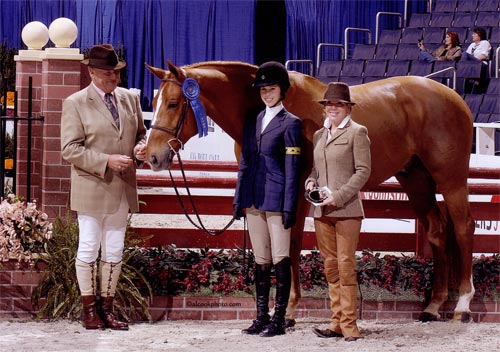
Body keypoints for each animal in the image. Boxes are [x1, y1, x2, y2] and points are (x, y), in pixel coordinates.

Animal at [146, 59, 476, 322]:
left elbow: (290, 244)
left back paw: (462, 305)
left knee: (463, 228)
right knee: (437, 231)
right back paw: (433, 307)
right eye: (154, 102)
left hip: (451, 180)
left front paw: (289, 310)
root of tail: (454, 97)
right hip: (416, 181)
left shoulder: (296, 193)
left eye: (173, 103)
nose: (151, 156)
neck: (268, 111)